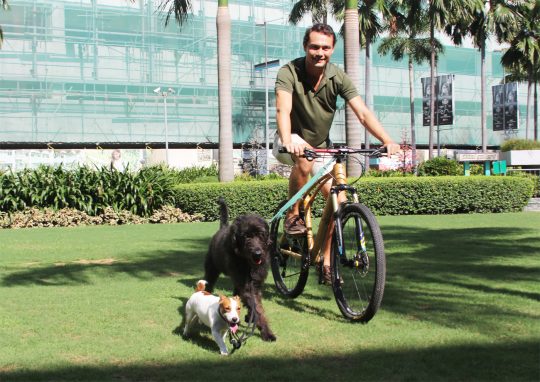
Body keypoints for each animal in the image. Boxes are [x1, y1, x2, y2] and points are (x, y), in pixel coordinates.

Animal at [204, 198, 276, 342]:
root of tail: (223, 228)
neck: (248, 263)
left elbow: (255, 305)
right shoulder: (246, 285)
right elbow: (256, 308)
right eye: (246, 236)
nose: (258, 253)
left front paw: (252, 319)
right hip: (211, 269)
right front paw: (266, 332)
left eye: (261, 234)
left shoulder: (255, 283)